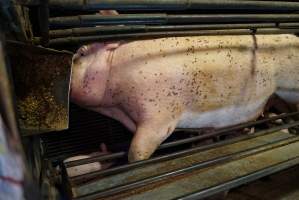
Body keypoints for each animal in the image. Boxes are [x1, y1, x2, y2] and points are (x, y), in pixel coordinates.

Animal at [69, 34, 299, 162]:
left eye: (81, 53)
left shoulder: (158, 114)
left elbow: (138, 150)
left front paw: (135, 162)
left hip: (291, 91)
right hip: (275, 97)